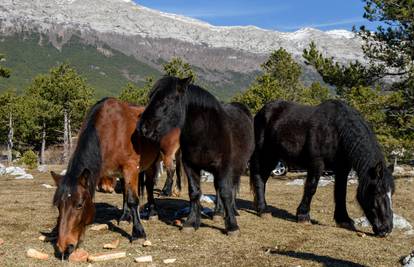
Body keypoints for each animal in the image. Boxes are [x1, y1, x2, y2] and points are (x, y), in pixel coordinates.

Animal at [51, 98, 180, 258]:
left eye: (79, 205)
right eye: (58, 206)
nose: (63, 247)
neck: (110, 131)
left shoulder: (131, 168)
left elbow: (132, 200)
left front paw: (138, 233)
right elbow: (126, 193)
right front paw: (125, 217)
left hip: (155, 161)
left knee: (150, 185)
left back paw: (153, 211)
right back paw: (125, 216)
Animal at [137, 76, 254, 236]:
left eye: (167, 99)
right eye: (151, 97)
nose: (142, 128)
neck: (206, 132)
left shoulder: (224, 167)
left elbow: (226, 192)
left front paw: (232, 226)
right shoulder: (190, 166)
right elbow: (194, 192)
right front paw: (191, 222)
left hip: (238, 167)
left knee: (232, 187)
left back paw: (233, 210)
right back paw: (218, 212)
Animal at [249, 100, 394, 237]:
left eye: (391, 193)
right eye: (376, 192)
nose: (386, 229)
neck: (336, 131)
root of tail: (262, 111)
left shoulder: (343, 169)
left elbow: (341, 192)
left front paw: (344, 220)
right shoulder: (317, 163)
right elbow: (311, 187)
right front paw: (303, 216)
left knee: (263, 179)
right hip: (266, 154)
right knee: (259, 177)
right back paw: (263, 210)